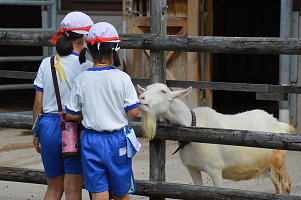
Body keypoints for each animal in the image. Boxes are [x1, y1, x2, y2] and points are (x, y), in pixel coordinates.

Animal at [137, 83, 296, 194]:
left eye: (163, 91)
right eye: (146, 89)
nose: (141, 98)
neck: (193, 124)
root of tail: (279, 123)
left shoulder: (215, 169)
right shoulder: (192, 169)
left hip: (279, 158)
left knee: (286, 184)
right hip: (267, 164)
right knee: (277, 184)